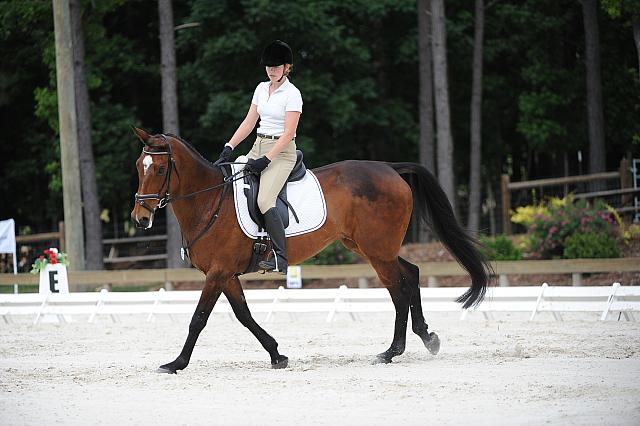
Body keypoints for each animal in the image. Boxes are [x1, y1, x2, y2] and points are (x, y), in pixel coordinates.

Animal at [130, 127, 490, 372]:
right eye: (138, 166)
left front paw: (176, 363)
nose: (140, 218)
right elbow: (244, 316)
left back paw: (391, 352)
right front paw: (277, 354)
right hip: (372, 247)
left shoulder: (218, 273)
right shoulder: (226, 274)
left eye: (159, 169)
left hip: (377, 251)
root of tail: (389, 168)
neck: (209, 201)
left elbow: (198, 318)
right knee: (411, 275)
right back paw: (427, 338)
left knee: (398, 290)